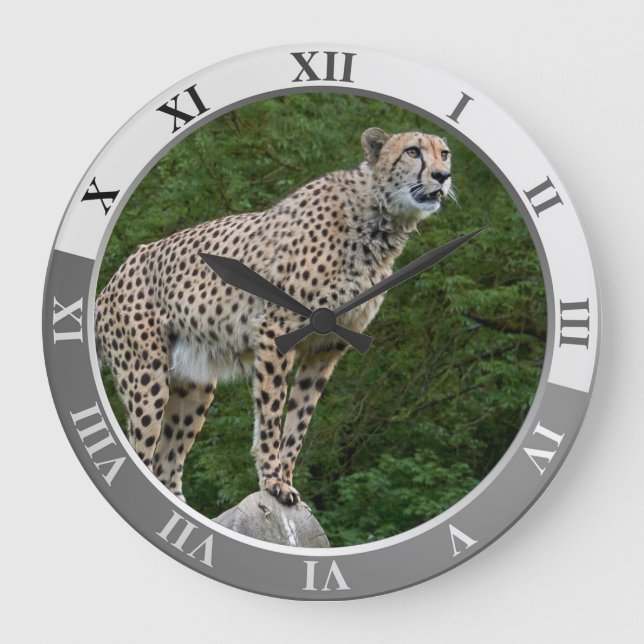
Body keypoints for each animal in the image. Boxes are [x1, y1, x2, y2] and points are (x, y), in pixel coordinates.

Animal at [95, 127, 453, 506]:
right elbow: (272, 412)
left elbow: (299, 421)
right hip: (147, 377)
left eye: (444, 154)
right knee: (144, 450)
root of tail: (111, 282)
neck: (377, 219)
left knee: (167, 463)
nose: (442, 176)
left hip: (195, 384)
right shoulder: (276, 330)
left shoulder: (326, 348)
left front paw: (286, 479)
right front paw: (272, 482)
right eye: (413, 151)